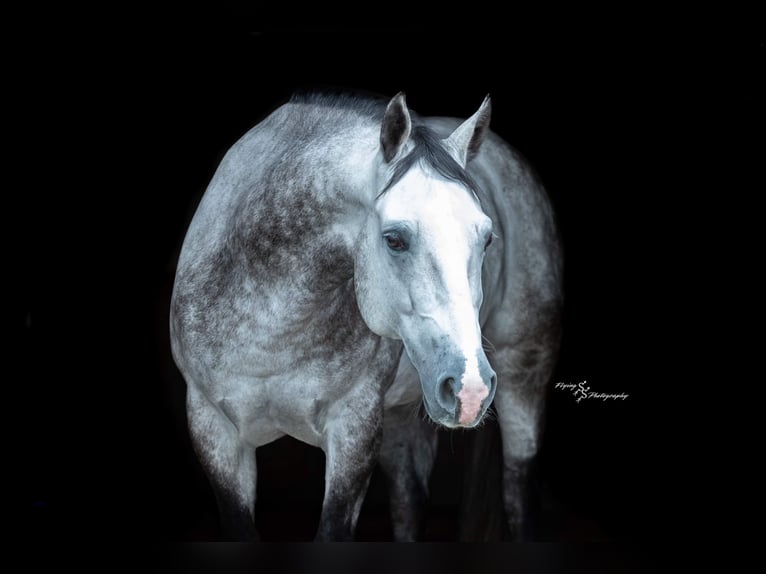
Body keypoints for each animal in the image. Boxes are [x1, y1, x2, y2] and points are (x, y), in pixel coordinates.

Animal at [169, 90, 563, 541]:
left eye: (487, 238)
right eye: (394, 239)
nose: (470, 390)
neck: (267, 329)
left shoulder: (354, 433)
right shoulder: (214, 432)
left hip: (523, 380)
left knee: (517, 493)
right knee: (409, 497)